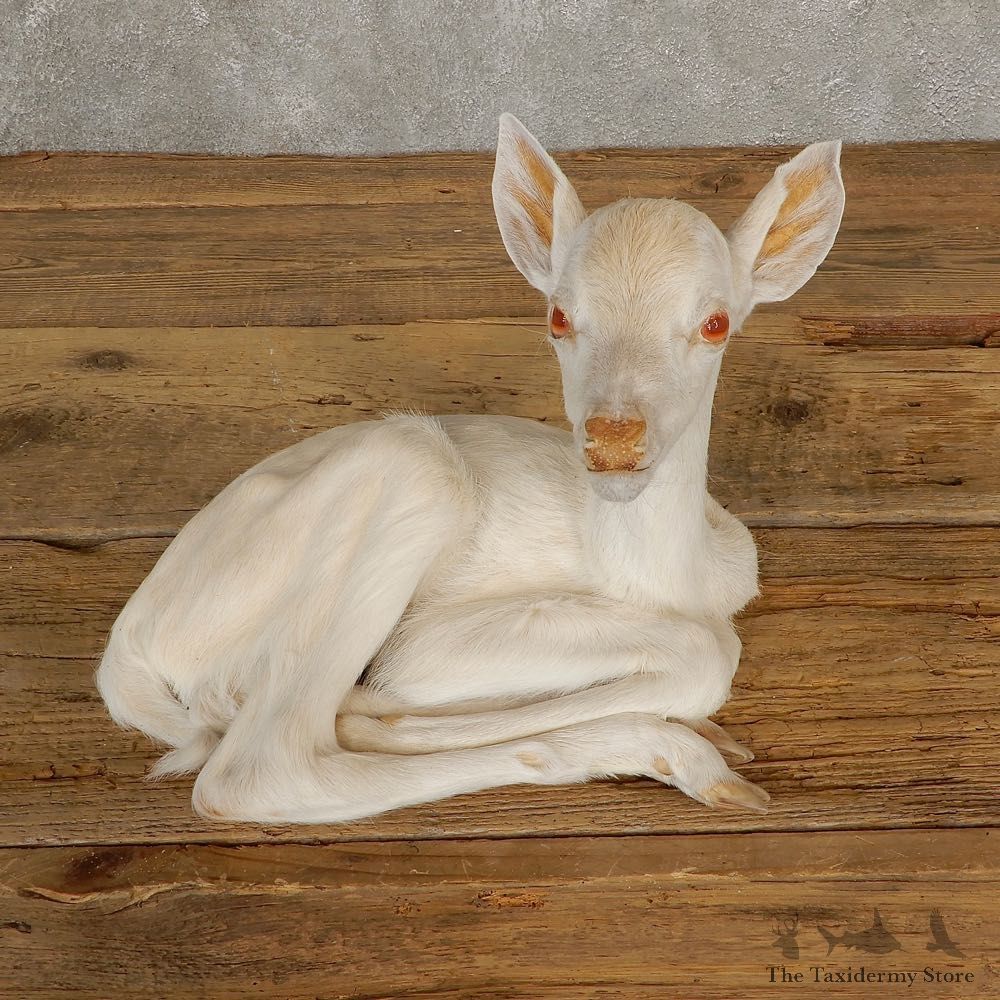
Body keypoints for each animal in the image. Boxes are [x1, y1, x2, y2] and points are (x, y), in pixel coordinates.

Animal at [96, 114, 845, 824]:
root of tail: (125, 651)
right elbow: (710, 651)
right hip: (409, 477)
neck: (661, 578)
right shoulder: (430, 641)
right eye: (558, 317)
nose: (613, 439)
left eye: (716, 323)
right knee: (254, 769)